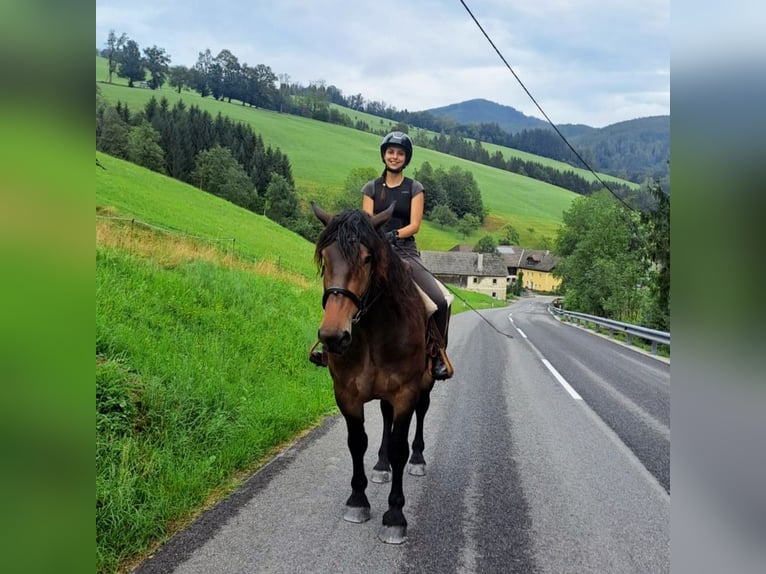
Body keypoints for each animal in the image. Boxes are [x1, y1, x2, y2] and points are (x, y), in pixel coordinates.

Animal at [308, 205, 436, 548]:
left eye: (367, 258)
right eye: (325, 257)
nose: (333, 336)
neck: (372, 333)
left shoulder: (405, 392)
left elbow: (400, 448)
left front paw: (394, 516)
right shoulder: (346, 394)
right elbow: (357, 442)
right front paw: (357, 500)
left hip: (426, 383)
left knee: (420, 414)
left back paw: (418, 461)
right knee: (385, 418)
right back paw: (381, 465)